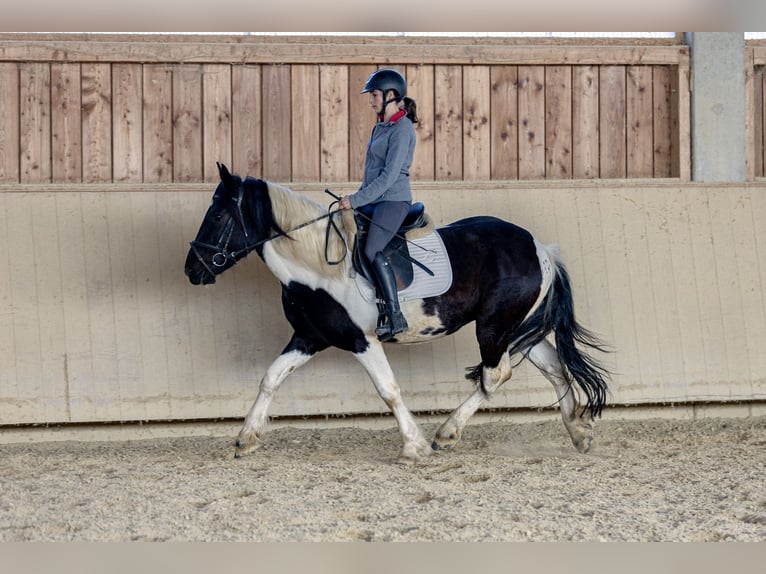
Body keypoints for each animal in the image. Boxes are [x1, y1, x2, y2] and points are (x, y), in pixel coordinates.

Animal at [185, 163, 611, 464]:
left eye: (218, 216)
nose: (192, 270)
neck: (316, 267)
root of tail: (540, 247)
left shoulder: (362, 340)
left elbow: (387, 389)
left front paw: (413, 446)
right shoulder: (309, 338)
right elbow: (271, 378)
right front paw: (246, 439)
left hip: (494, 326)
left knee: (495, 374)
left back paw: (447, 433)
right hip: (515, 327)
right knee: (550, 367)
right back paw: (579, 433)